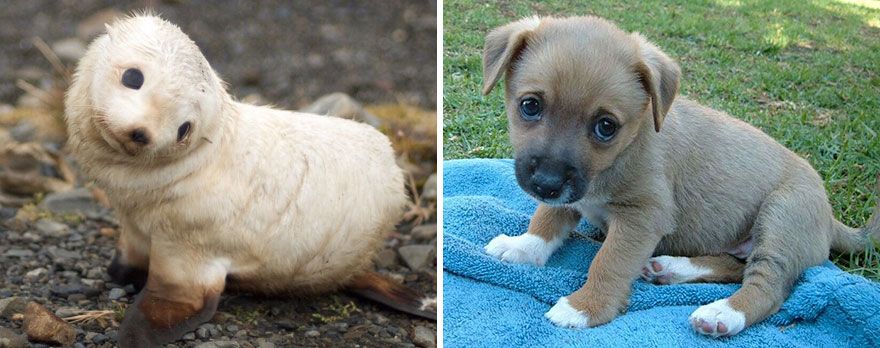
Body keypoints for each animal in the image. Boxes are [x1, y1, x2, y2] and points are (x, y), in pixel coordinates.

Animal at [64, 14, 430, 348]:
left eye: (184, 129)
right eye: (133, 77)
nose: (142, 132)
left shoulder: (186, 244)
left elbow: (181, 298)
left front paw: (134, 333)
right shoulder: (134, 228)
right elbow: (124, 262)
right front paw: (119, 275)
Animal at [482, 15, 880, 338]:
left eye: (605, 127)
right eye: (530, 106)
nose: (546, 184)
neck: (626, 150)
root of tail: (830, 217)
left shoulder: (642, 218)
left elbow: (608, 262)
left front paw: (586, 307)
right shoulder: (571, 195)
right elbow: (546, 219)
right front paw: (524, 246)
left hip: (782, 217)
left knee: (769, 287)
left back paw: (723, 313)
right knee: (735, 266)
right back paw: (672, 268)